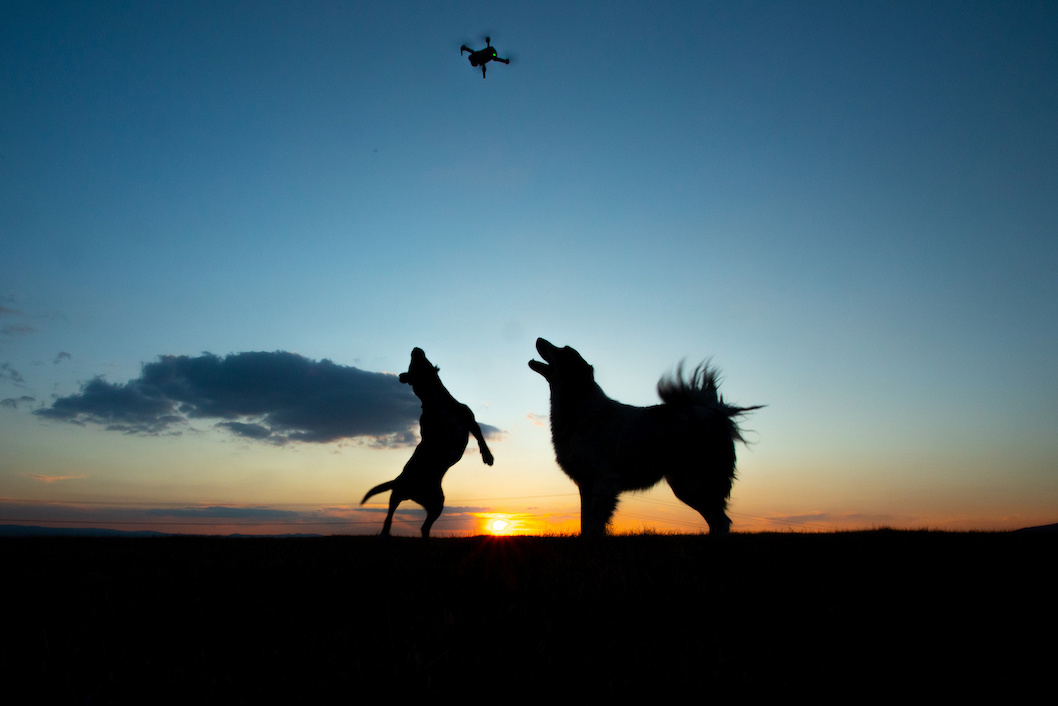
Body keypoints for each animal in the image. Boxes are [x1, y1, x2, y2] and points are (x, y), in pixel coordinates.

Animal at [361, 349, 493, 541]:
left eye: (419, 361)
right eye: (412, 365)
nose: (416, 349)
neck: (435, 398)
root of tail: (414, 493)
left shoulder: (470, 421)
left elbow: (481, 438)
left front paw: (488, 456)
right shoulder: (431, 431)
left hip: (437, 503)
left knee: (424, 527)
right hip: (398, 493)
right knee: (389, 516)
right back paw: (385, 534)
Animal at [529, 338, 761, 537]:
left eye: (563, 350)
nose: (539, 339)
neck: (581, 409)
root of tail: (715, 412)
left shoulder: (604, 480)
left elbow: (595, 523)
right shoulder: (586, 484)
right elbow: (585, 523)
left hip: (699, 480)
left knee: (722, 521)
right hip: (684, 485)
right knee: (716, 519)